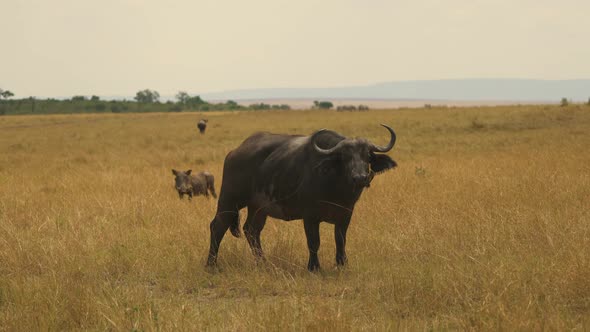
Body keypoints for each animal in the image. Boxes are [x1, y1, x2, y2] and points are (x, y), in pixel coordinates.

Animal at [207, 124, 398, 270]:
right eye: (344, 157)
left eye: (367, 156)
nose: (360, 178)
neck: (335, 188)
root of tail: (234, 152)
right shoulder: (310, 216)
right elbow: (314, 242)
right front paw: (314, 267)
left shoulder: (345, 214)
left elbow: (340, 240)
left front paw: (342, 264)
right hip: (230, 200)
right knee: (217, 226)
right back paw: (211, 264)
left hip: (258, 208)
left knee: (252, 230)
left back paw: (263, 262)